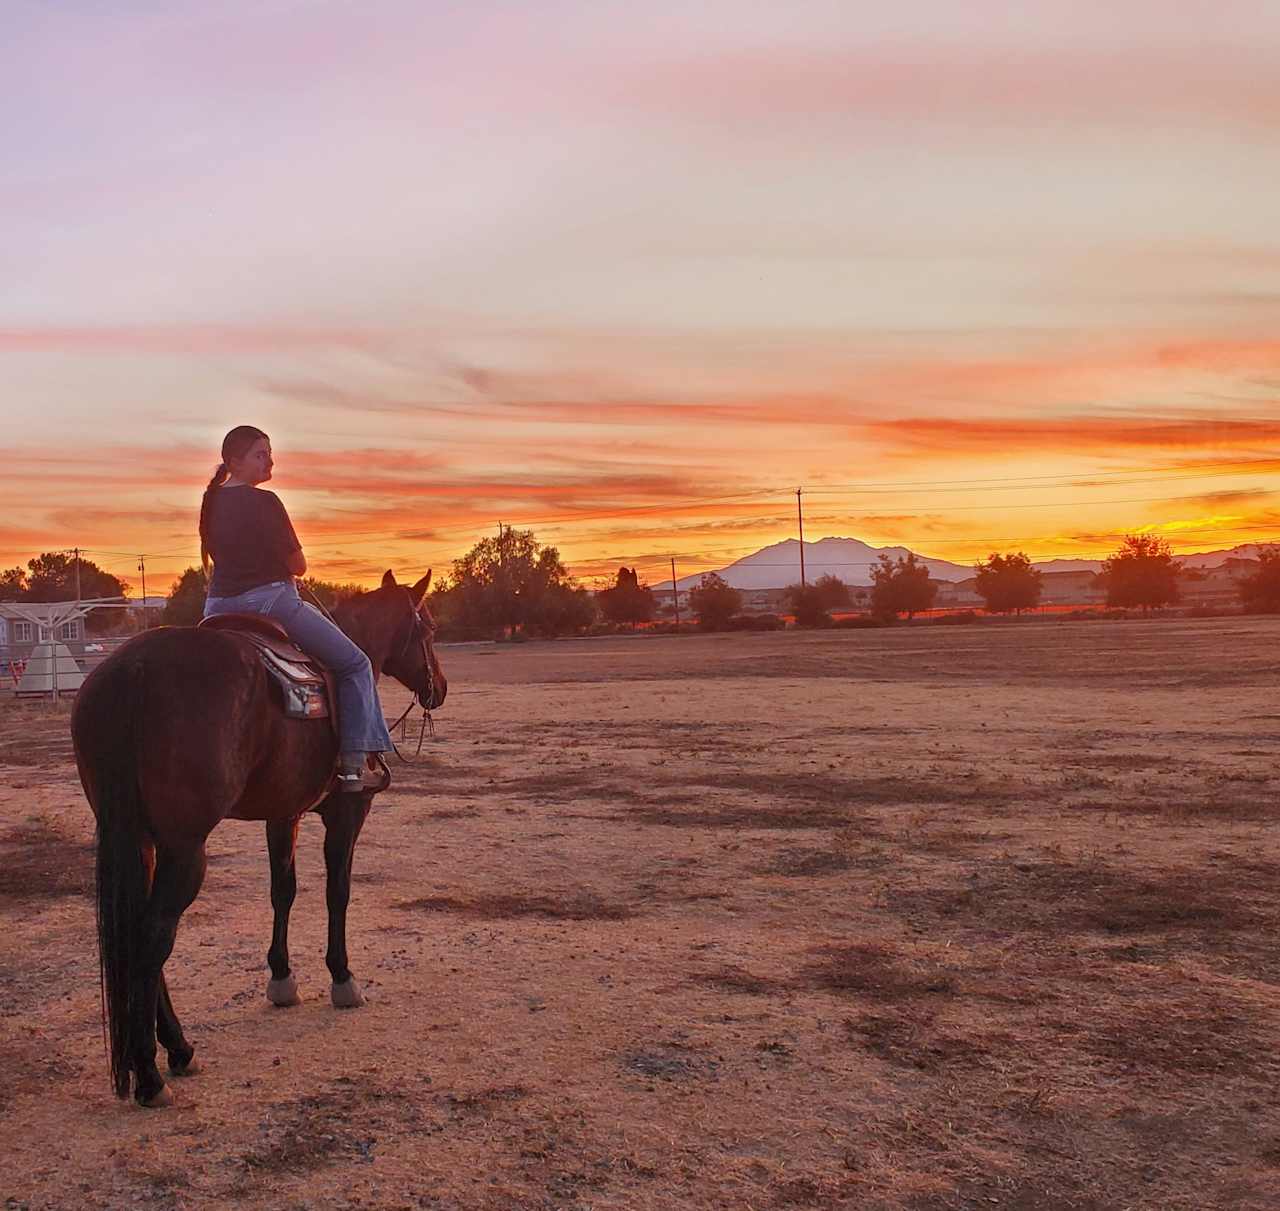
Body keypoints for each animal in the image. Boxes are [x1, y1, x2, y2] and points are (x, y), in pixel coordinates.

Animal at [72, 565, 450, 1106]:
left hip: (137, 839)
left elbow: (283, 892)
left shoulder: (283, 815)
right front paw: (342, 978)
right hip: (184, 850)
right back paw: (150, 1073)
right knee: (153, 936)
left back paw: (178, 1049)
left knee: (138, 935)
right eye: (430, 628)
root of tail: (134, 670)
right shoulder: (347, 813)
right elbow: (338, 893)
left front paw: (282, 978)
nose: (439, 687)